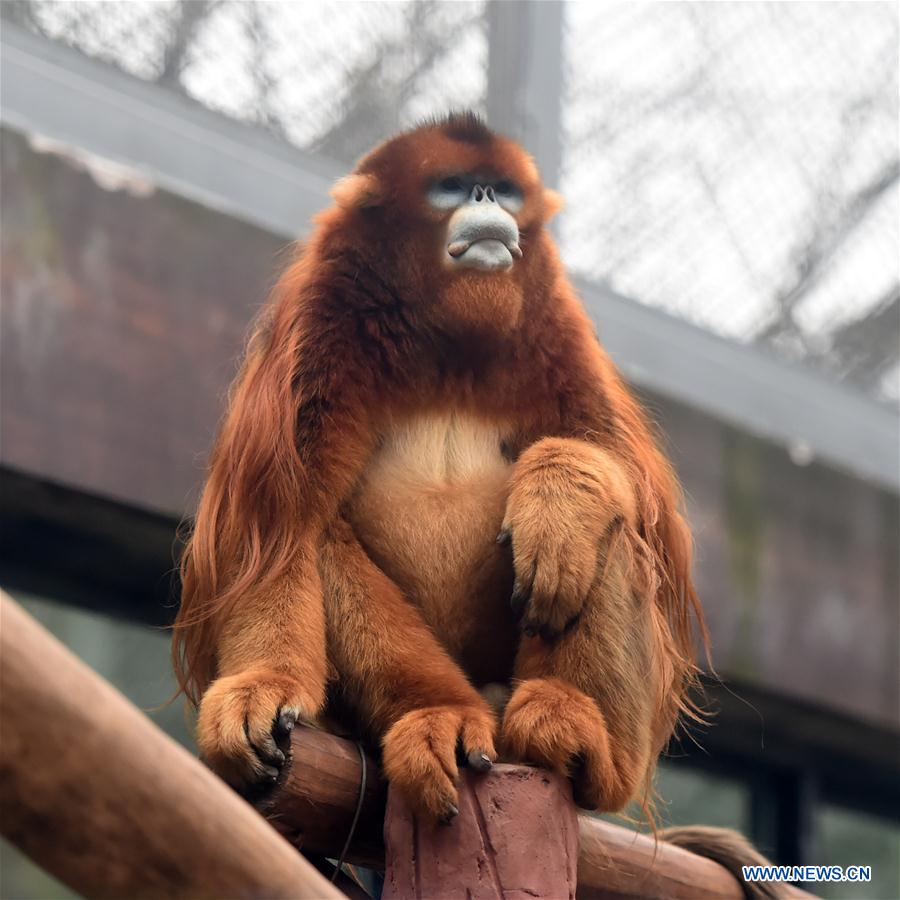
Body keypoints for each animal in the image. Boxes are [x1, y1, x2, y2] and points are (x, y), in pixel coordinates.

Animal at [173, 112, 706, 826]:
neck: (451, 350)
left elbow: (640, 500)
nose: (483, 199)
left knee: (611, 531)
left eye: (501, 189)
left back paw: (577, 732)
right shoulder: (319, 321)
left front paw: (560, 503)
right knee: (321, 533)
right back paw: (441, 714)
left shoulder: (555, 324)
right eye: (452, 186)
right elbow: (273, 528)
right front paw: (263, 685)